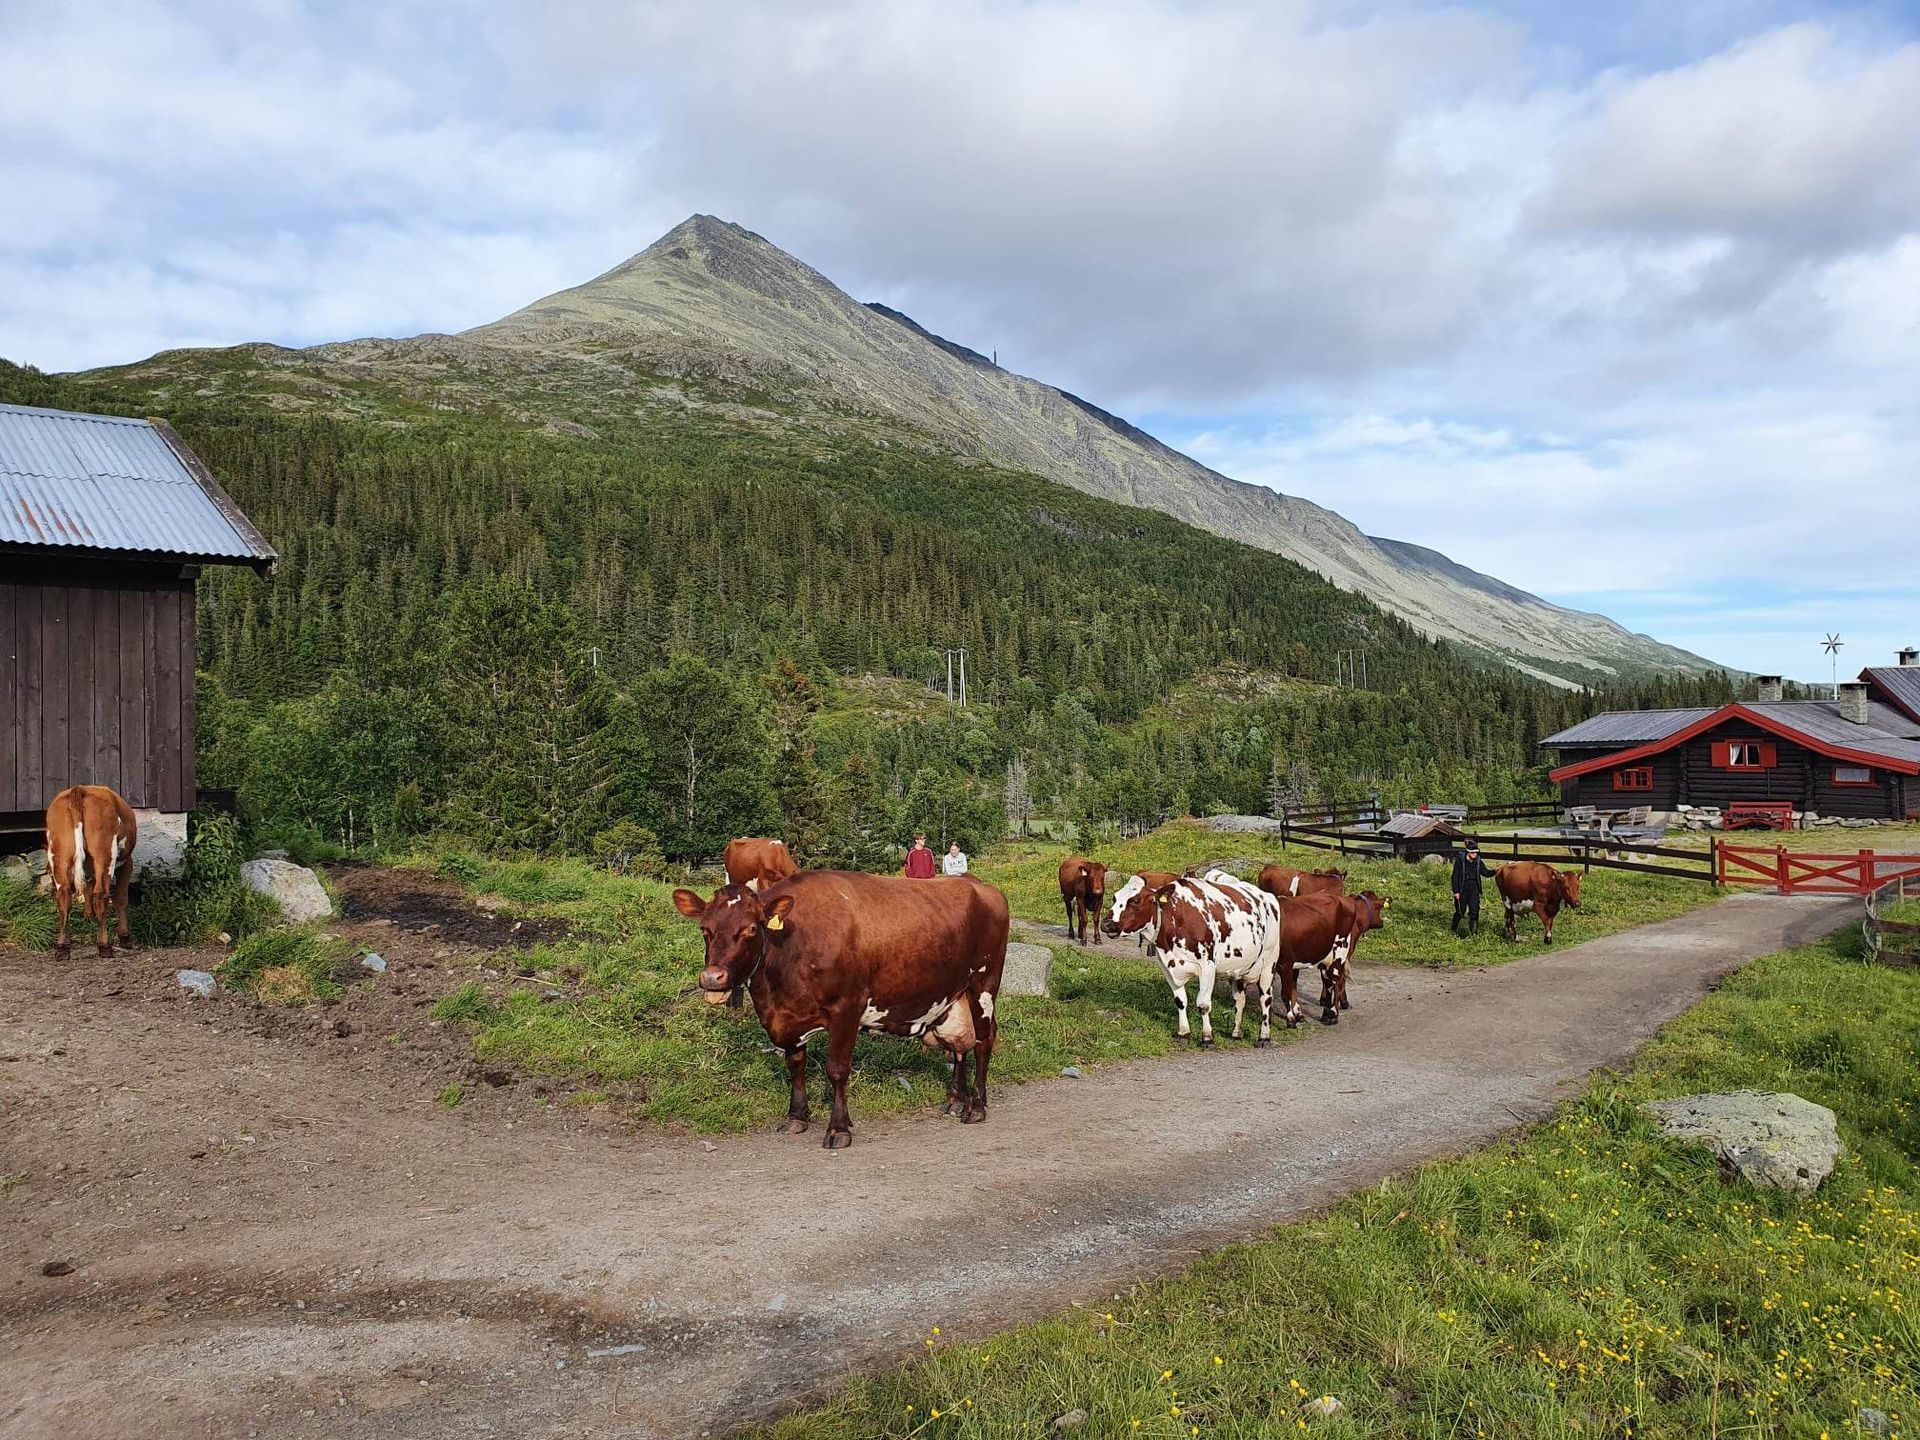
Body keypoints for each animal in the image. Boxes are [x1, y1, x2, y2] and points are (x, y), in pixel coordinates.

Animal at [44, 783, 137, 963]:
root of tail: (79, 789)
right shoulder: (127, 863)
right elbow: (121, 898)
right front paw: (124, 937)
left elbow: (88, 886)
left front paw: (88, 916)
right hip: (105, 854)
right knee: (101, 895)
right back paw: (104, 946)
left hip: (59, 855)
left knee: (64, 896)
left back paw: (62, 947)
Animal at [672, 867, 1006, 1152]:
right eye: (705, 929)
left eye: (751, 929)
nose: (712, 978)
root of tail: (977, 884)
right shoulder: (790, 1017)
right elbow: (796, 1065)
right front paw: (797, 1117)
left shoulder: (847, 1008)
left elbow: (837, 1069)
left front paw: (838, 1128)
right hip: (952, 997)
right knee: (958, 1047)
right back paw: (956, 1099)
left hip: (983, 986)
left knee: (983, 1041)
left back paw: (976, 1107)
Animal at [1105, 867, 1282, 1052]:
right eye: (1115, 897)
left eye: (1136, 900)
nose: (1107, 924)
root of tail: (1267, 896)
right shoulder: (1167, 966)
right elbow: (1180, 1001)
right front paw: (1183, 1034)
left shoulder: (1207, 966)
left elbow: (1203, 1004)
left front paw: (1207, 1038)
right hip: (1238, 968)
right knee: (1239, 1000)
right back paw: (1236, 1033)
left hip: (1269, 963)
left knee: (1266, 999)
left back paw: (1264, 1037)